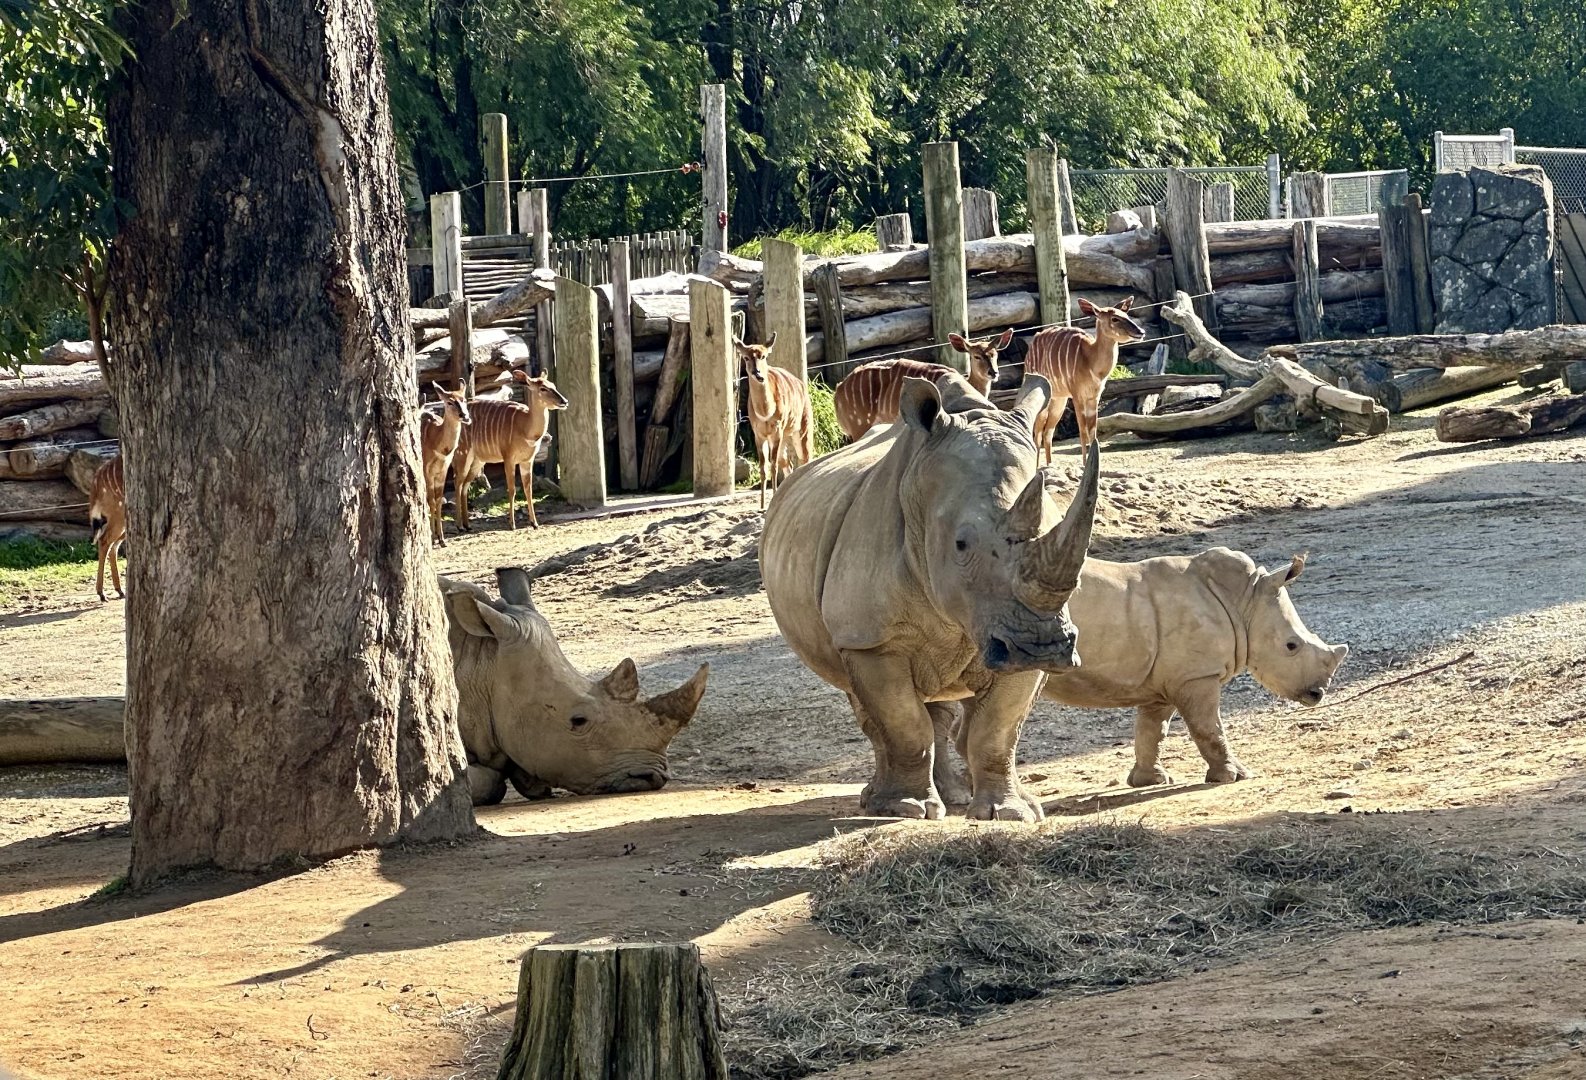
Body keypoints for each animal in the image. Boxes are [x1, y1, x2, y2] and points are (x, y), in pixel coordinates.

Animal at [760, 372, 1101, 822]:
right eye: (961, 544)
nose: (1040, 646)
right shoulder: (867, 636)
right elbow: (904, 723)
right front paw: (904, 809)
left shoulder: (1020, 641)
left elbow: (997, 729)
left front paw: (1009, 813)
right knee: (875, 709)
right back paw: (883, 800)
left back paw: (956, 796)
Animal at [1037, 548, 1349, 786]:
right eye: (1291, 646)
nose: (1318, 693)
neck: (1245, 601)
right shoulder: (1197, 675)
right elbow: (1208, 726)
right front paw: (1234, 777)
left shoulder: (1166, 679)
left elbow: (1153, 730)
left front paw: (1151, 781)